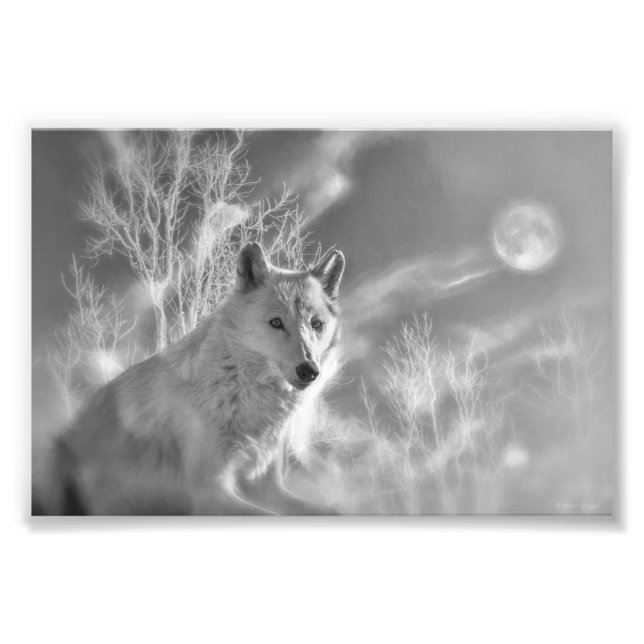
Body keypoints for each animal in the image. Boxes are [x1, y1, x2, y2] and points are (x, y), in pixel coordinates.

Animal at [36, 243, 345, 515]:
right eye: (276, 323)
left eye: (316, 324)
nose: (309, 370)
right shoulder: (211, 493)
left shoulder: (265, 487)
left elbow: (332, 511)